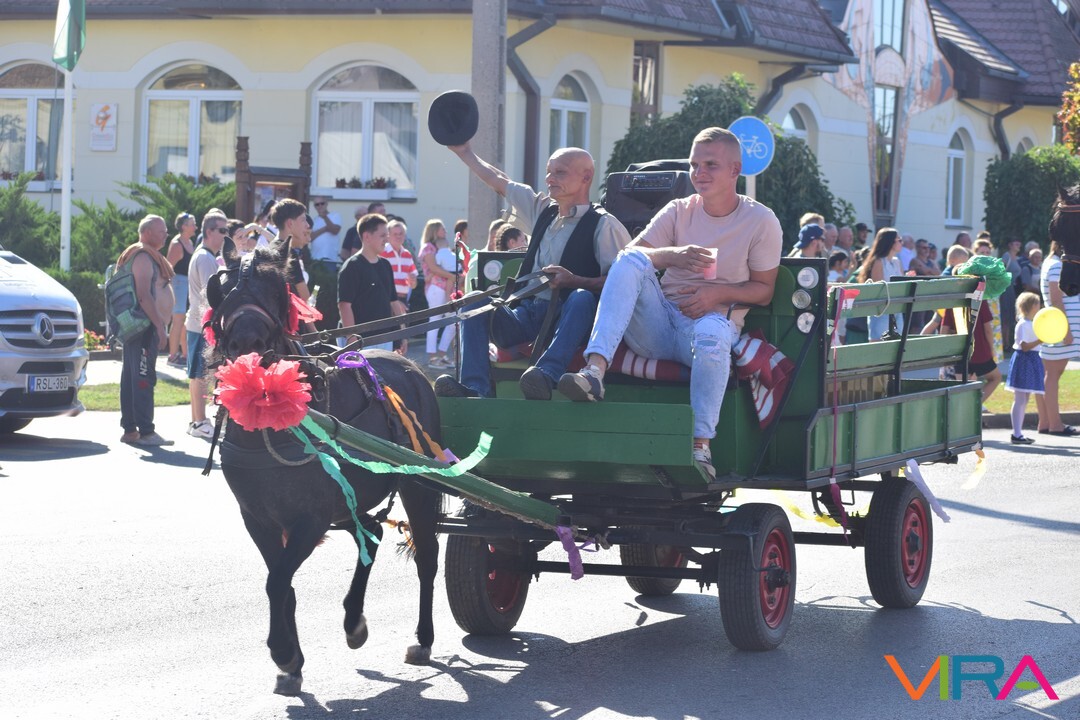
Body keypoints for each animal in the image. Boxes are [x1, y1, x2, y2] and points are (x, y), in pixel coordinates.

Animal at [204, 238, 443, 695]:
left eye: (277, 286)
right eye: (221, 287)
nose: (247, 341)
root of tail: (413, 368)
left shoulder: (310, 519)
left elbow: (277, 580)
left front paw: (282, 652)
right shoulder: (257, 518)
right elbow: (282, 584)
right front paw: (292, 662)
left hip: (417, 487)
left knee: (426, 556)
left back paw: (422, 639)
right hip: (348, 501)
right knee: (370, 534)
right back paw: (353, 620)